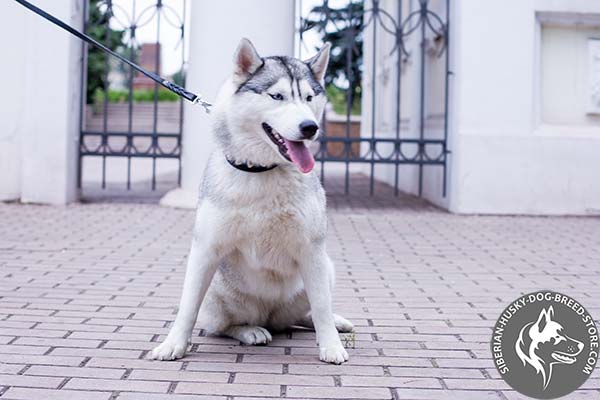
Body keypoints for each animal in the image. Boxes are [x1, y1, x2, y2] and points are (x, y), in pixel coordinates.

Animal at [150, 39, 354, 364]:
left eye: (309, 97)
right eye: (277, 96)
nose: (310, 127)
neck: (262, 171)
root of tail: (270, 316)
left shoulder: (312, 249)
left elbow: (321, 306)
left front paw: (331, 345)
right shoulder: (205, 250)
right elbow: (187, 308)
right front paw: (174, 344)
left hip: (326, 268)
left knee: (306, 313)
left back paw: (333, 321)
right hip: (218, 291)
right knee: (222, 326)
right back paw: (249, 331)